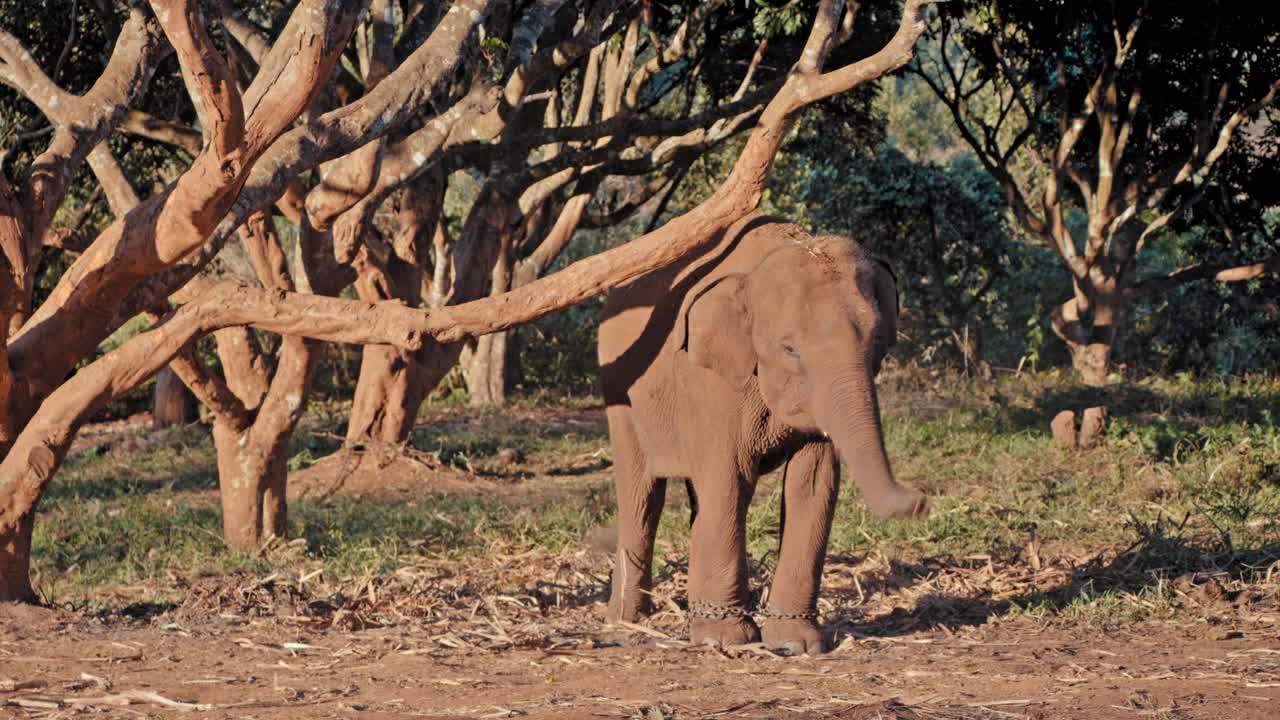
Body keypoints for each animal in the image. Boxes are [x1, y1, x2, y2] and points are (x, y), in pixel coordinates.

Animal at [597, 214, 928, 655]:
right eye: (789, 349)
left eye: (877, 340)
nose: (921, 502)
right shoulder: (713, 382)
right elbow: (729, 480)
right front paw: (726, 639)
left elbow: (813, 485)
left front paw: (795, 644)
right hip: (620, 391)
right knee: (642, 493)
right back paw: (627, 620)